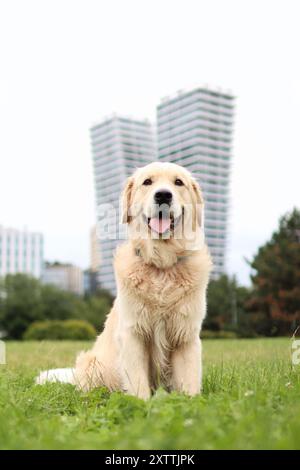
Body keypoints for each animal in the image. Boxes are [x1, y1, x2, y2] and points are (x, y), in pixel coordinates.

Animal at [36, 163, 212, 398]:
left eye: (178, 182)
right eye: (147, 182)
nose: (163, 195)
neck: (161, 264)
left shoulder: (186, 336)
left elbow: (189, 382)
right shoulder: (133, 334)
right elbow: (138, 384)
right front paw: (143, 404)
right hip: (92, 363)